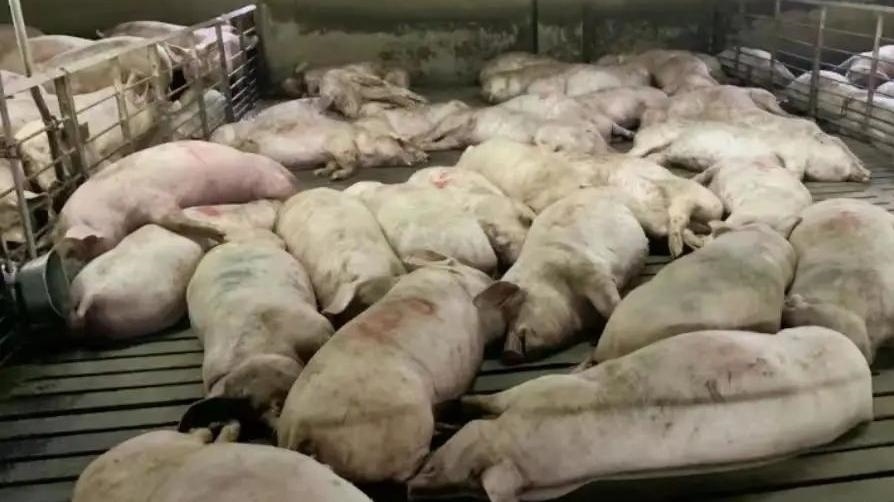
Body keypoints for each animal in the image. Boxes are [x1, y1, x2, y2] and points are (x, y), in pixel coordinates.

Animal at [55, 140, 297, 261]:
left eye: (78, 246)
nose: (78, 259)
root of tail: (289, 175)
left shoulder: (154, 198)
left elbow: (174, 219)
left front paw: (220, 234)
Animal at [211, 98, 425, 180]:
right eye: (401, 142)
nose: (426, 156)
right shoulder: (340, 144)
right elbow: (350, 161)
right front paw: (335, 176)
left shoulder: (331, 153)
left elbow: (334, 163)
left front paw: (320, 172)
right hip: (226, 136)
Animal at [409, 326, 872, 502]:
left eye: (467, 475)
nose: (412, 485)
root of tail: (864, 378)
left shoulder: (542, 393)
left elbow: (499, 398)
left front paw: (462, 406)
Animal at [417, 106, 609, 155]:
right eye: (590, 133)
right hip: (450, 123)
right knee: (434, 134)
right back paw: (417, 144)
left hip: (454, 139)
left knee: (442, 142)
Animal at [630, 119, 871, 182]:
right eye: (847, 153)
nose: (867, 173)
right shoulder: (792, 152)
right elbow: (796, 171)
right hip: (654, 138)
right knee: (636, 153)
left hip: (665, 151)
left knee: (658, 157)